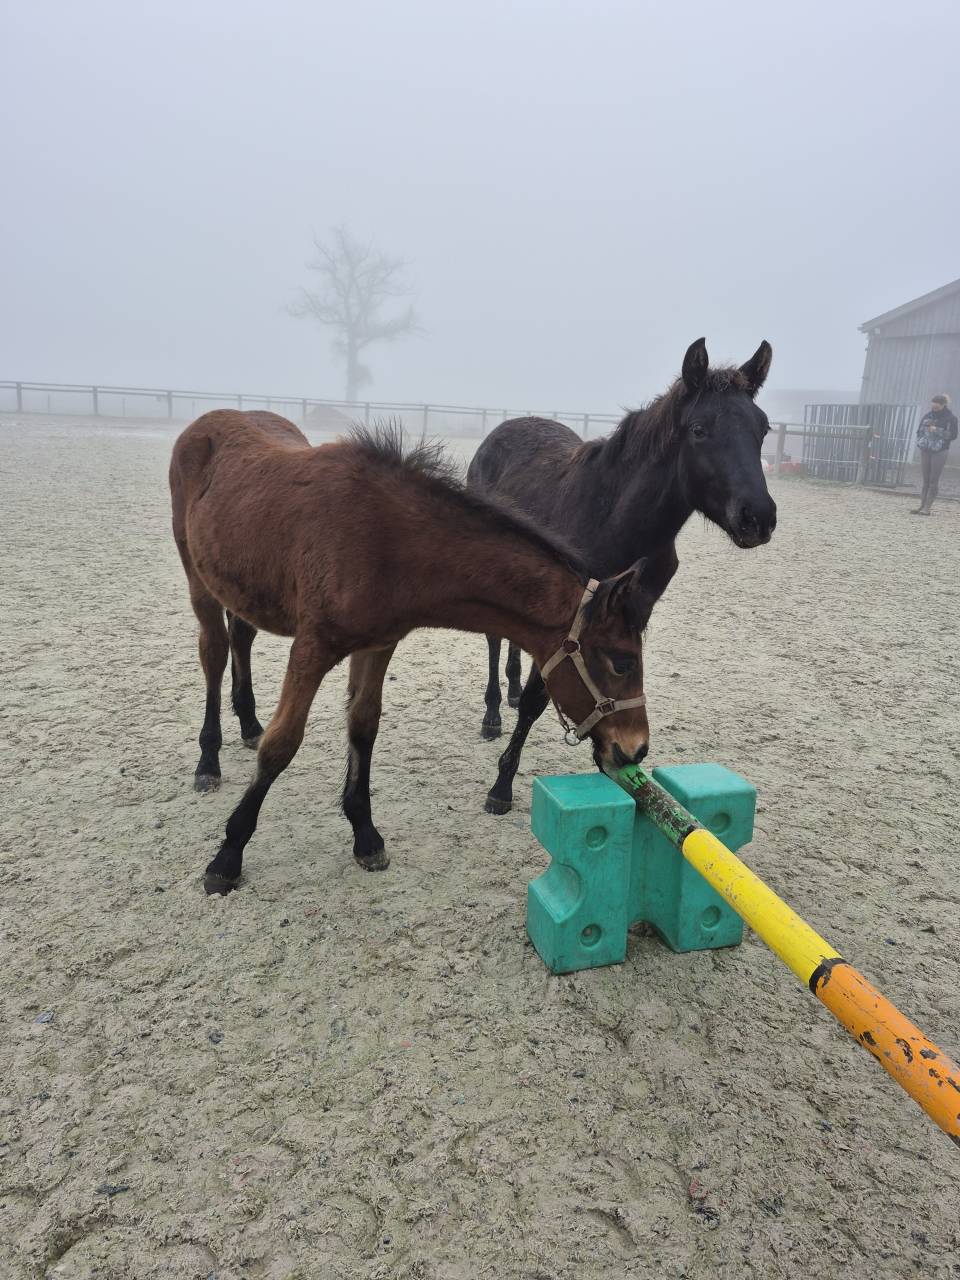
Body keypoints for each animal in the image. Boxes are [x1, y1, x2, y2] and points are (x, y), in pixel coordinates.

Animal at [169, 411, 654, 894]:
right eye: (622, 662)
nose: (636, 748)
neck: (388, 541)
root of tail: (209, 420)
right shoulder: (312, 646)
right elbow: (282, 743)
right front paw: (228, 855)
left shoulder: (378, 645)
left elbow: (363, 726)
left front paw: (365, 835)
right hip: (196, 575)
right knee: (214, 652)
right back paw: (208, 760)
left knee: (241, 637)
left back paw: (248, 723)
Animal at [465, 337, 778, 815]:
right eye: (699, 429)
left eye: (763, 429)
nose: (757, 518)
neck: (612, 519)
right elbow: (539, 698)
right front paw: (501, 786)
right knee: (495, 638)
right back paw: (494, 712)